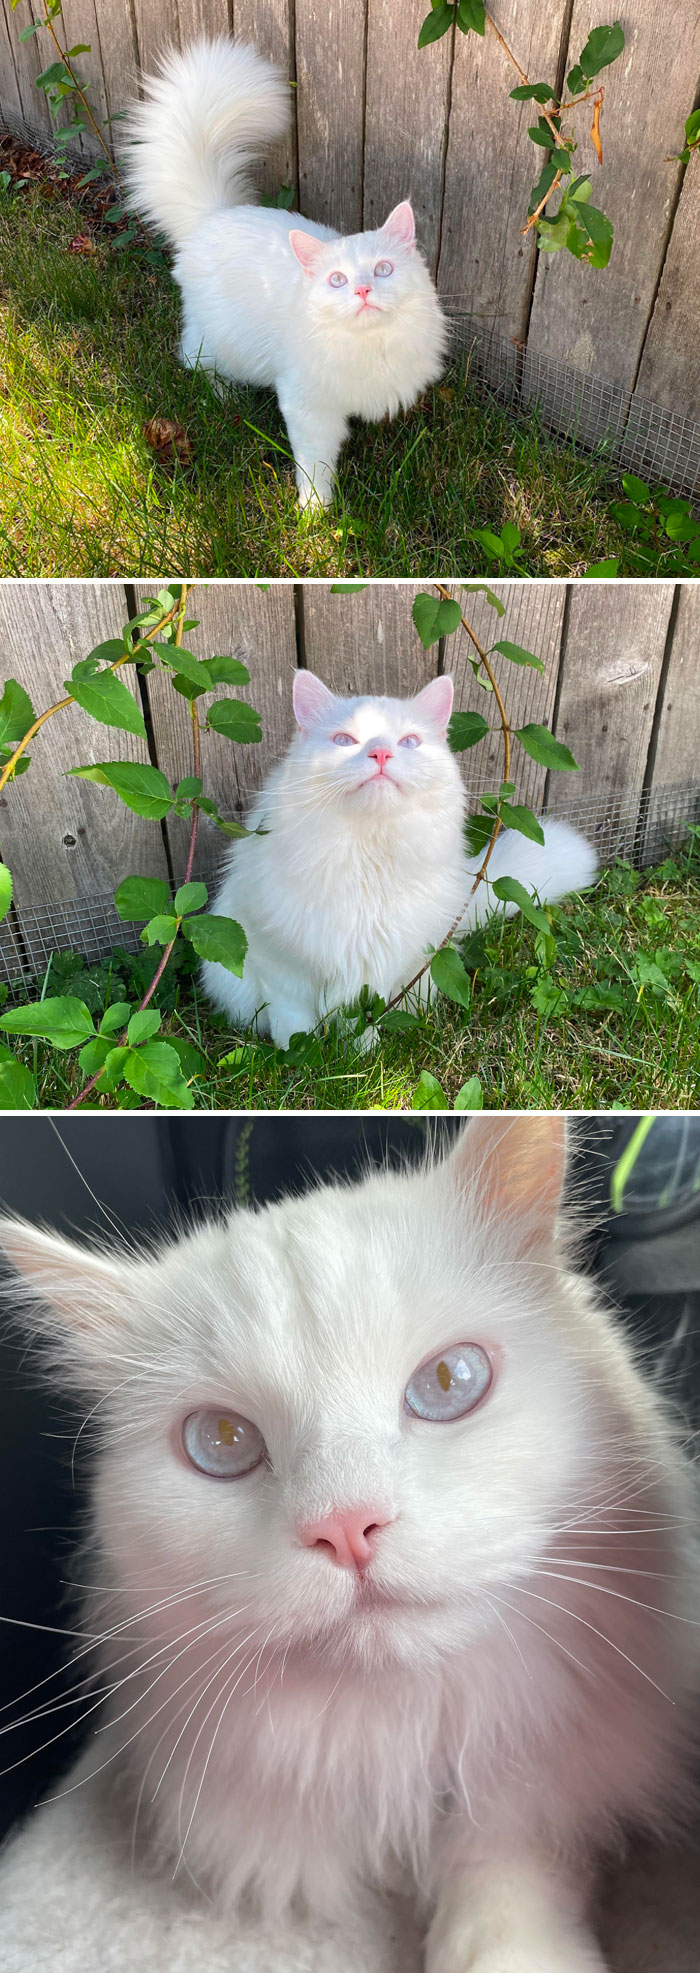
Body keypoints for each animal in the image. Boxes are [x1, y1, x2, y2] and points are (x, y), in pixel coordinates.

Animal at [1, 1112, 700, 1973]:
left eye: (449, 1382)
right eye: (221, 1440)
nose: (344, 1525)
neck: (404, 1749)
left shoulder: (538, 1778)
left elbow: (506, 1873)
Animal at [122, 38, 447, 505]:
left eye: (383, 269)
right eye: (337, 280)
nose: (363, 291)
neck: (370, 349)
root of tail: (215, 215)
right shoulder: (307, 407)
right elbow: (315, 465)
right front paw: (314, 510)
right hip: (222, 343)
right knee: (190, 358)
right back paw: (223, 397)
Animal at [201, 670, 599, 1049]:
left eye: (409, 742)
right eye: (344, 741)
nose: (380, 754)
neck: (367, 856)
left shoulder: (375, 968)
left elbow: (361, 1019)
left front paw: (361, 1053)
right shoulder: (278, 963)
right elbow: (293, 1022)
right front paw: (296, 1055)